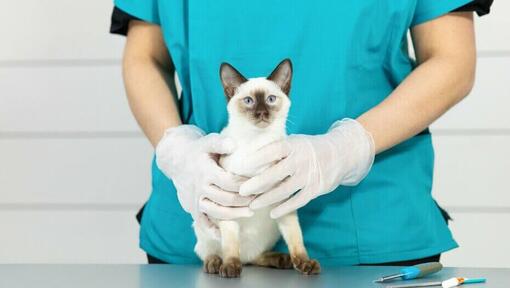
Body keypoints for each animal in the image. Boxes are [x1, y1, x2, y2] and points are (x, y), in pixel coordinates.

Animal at [193, 58, 320, 276]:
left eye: (271, 99)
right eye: (249, 101)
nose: (262, 113)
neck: (258, 144)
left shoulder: (283, 201)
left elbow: (296, 239)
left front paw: (305, 263)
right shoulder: (227, 202)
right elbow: (230, 244)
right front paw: (230, 267)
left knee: (253, 258)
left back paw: (281, 260)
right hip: (204, 228)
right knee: (211, 252)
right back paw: (216, 264)